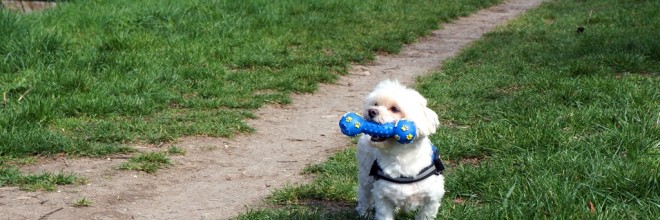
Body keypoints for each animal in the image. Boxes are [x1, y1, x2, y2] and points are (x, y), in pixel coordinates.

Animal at [356, 80, 444, 219]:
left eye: (394, 109)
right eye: (375, 104)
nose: (371, 111)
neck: (401, 157)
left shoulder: (432, 198)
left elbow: (425, 214)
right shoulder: (383, 196)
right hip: (365, 173)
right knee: (364, 193)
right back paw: (364, 212)